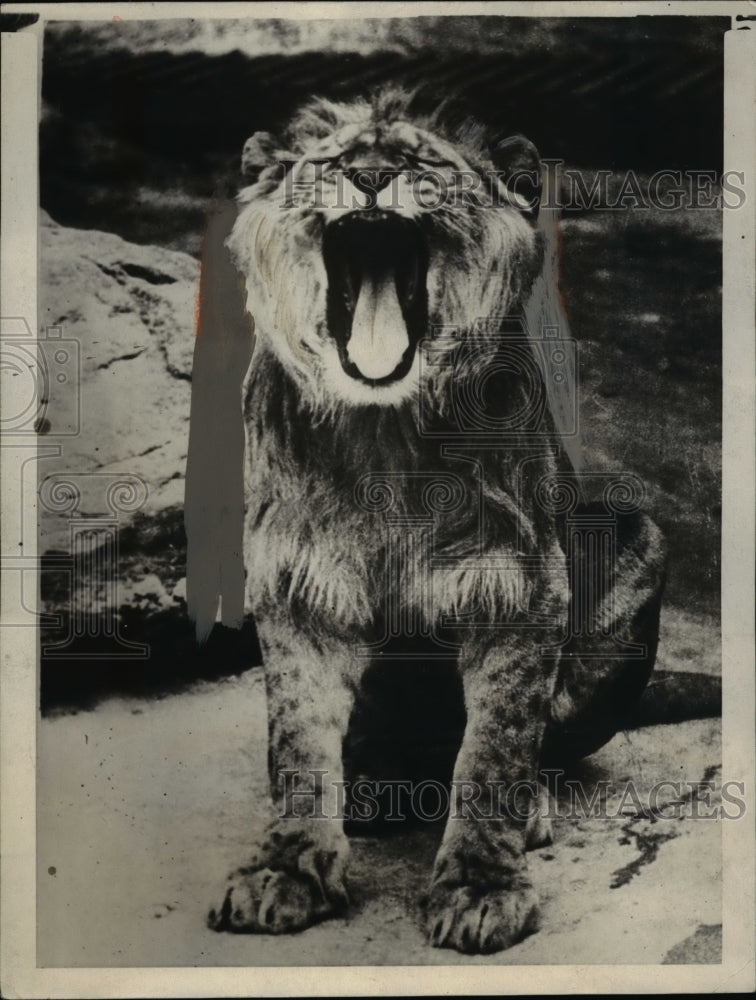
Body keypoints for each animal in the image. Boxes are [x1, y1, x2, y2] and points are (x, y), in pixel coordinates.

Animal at [187, 91, 671, 954]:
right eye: (334, 161)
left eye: (421, 163)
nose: (370, 177)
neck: (385, 430)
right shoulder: (296, 585)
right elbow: (299, 744)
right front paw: (286, 869)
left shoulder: (519, 590)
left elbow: (494, 753)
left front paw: (482, 887)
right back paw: (370, 792)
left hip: (638, 541)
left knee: (541, 748)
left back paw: (530, 811)